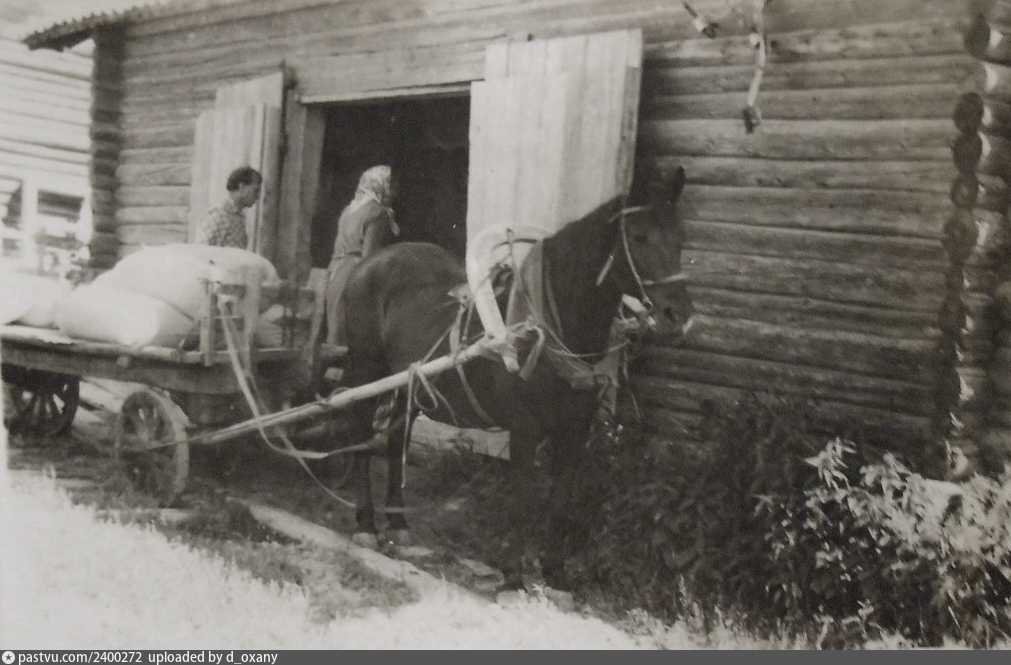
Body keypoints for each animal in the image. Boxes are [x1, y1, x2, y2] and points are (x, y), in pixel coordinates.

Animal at [333, 164, 694, 591]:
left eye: (681, 237)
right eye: (637, 236)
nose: (678, 316)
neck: (545, 329)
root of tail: (370, 263)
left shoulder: (574, 432)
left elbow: (561, 503)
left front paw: (555, 574)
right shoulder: (524, 429)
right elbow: (522, 501)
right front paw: (513, 577)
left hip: (410, 382)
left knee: (394, 441)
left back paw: (399, 523)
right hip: (367, 370)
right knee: (359, 434)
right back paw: (366, 524)